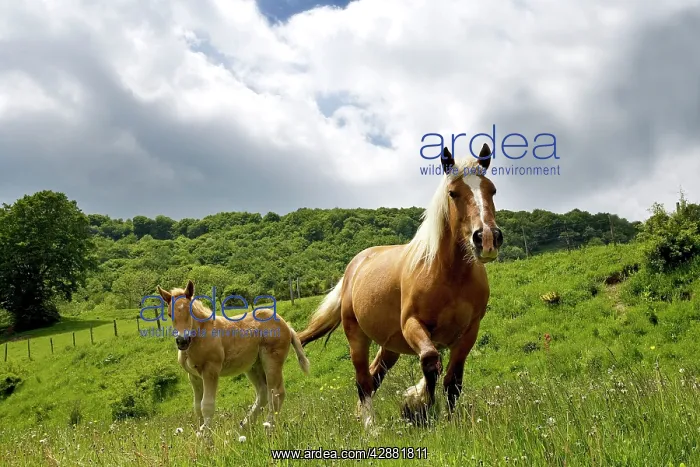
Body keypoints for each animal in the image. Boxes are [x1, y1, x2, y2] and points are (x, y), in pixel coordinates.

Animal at [156, 280, 310, 433]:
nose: (182, 341)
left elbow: (207, 406)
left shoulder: (211, 371)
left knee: (276, 393)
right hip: (254, 366)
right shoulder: (193, 376)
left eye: (190, 312)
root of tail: (286, 326)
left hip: (272, 361)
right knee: (263, 393)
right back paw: (242, 428)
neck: (200, 335)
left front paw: (207, 438)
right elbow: (197, 407)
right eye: (169, 315)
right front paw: (200, 435)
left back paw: (269, 429)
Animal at [298, 143, 502, 428]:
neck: (449, 275)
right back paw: (371, 427)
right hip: (356, 336)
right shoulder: (412, 324)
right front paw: (420, 406)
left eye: (491, 189)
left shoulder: (469, 331)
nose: (487, 239)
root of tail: (354, 267)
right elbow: (430, 362)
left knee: (374, 376)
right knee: (363, 382)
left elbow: (452, 381)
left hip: (389, 346)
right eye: (453, 193)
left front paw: (447, 420)